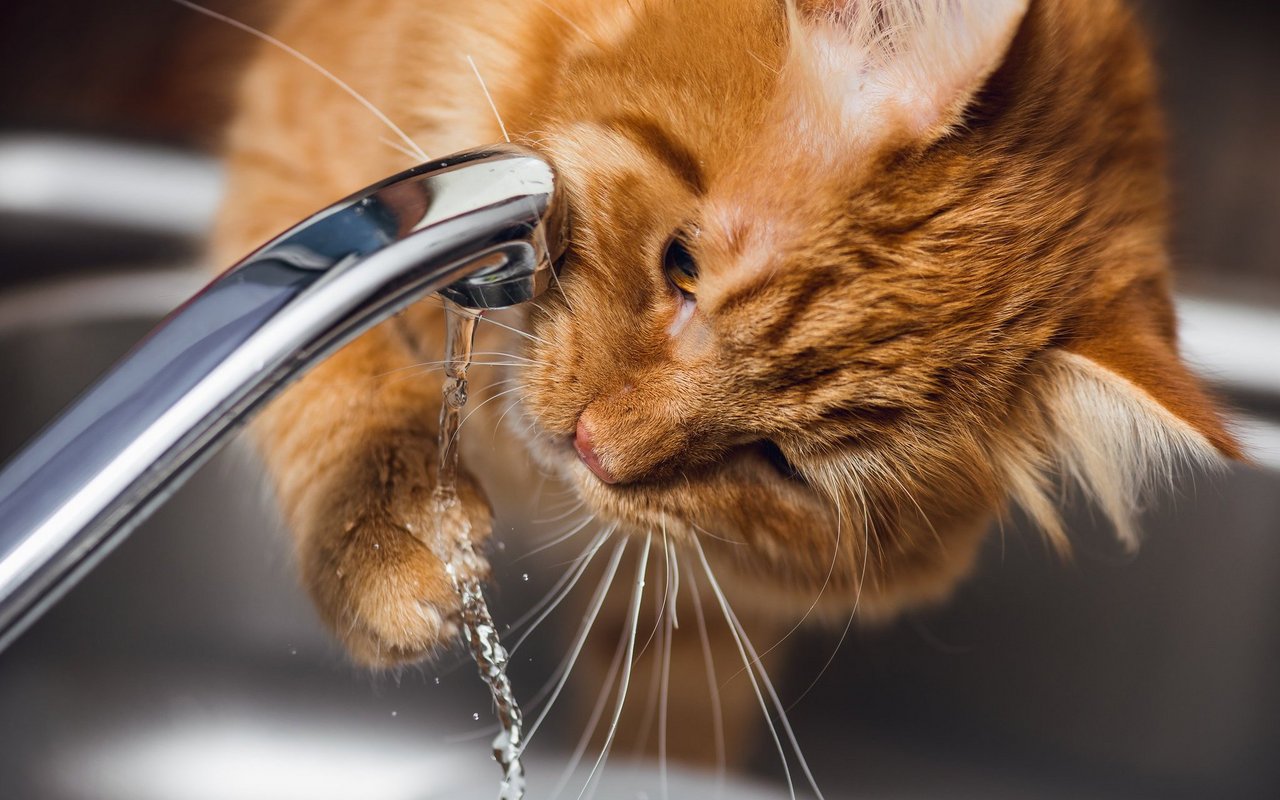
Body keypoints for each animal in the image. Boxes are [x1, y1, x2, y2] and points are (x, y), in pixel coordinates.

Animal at [209, 0, 1239, 773]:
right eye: (683, 266)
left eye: (778, 460)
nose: (593, 449)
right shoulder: (305, 152)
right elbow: (341, 382)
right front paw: (400, 535)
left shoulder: (706, 617)